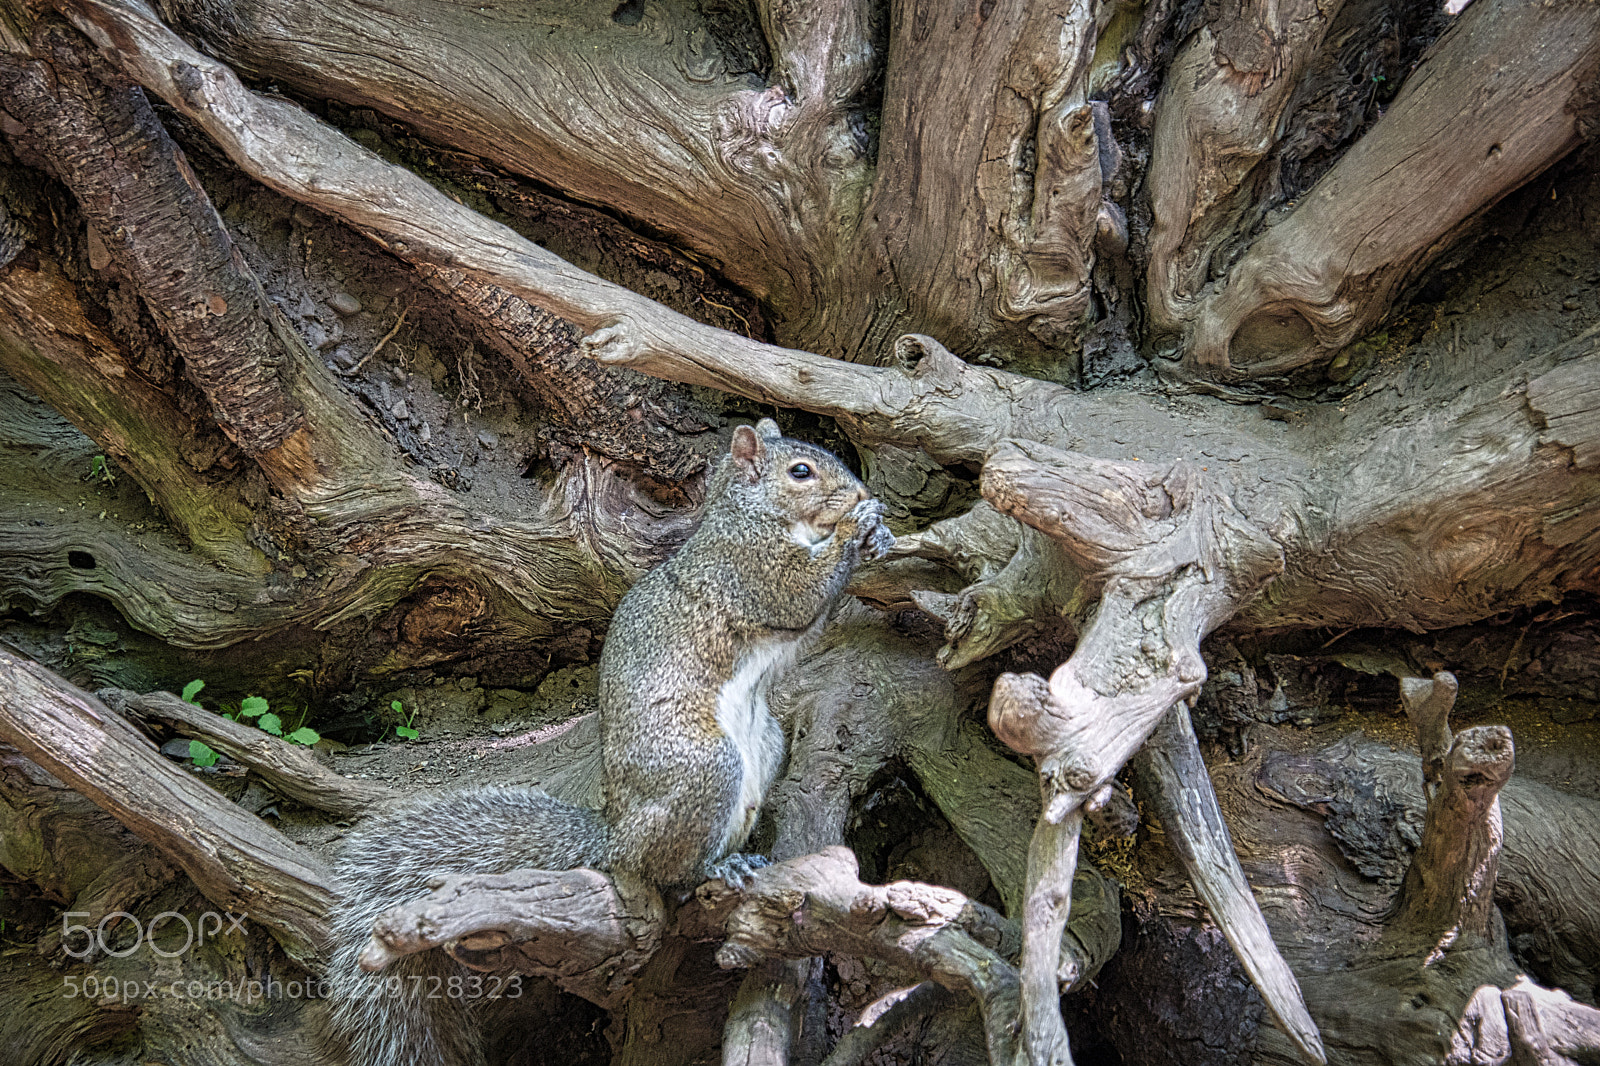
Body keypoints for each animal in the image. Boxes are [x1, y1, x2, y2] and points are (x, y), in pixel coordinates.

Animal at [326, 418, 893, 1066]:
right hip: (706, 766)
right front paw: (858, 526)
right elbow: (798, 593)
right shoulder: (746, 568)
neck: (752, 515)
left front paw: (877, 532)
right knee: (669, 875)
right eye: (802, 471)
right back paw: (713, 869)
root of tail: (617, 838)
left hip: (767, 746)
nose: (858, 493)